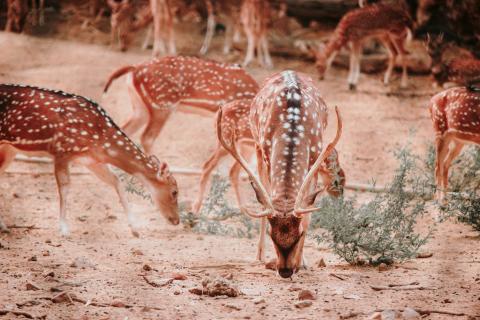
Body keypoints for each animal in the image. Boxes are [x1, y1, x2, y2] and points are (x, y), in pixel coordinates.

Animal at [0, 84, 179, 236]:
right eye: (174, 192)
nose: (177, 220)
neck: (100, 138)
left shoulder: (91, 160)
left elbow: (116, 181)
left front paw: (134, 228)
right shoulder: (62, 151)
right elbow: (64, 188)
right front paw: (64, 228)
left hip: (9, 150)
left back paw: (4, 227)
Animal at [218, 71, 344, 276]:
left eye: (299, 234)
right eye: (272, 234)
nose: (285, 271)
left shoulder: (315, 158)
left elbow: (308, 213)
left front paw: (302, 263)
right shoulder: (267, 154)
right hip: (257, 146)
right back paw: (259, 255)